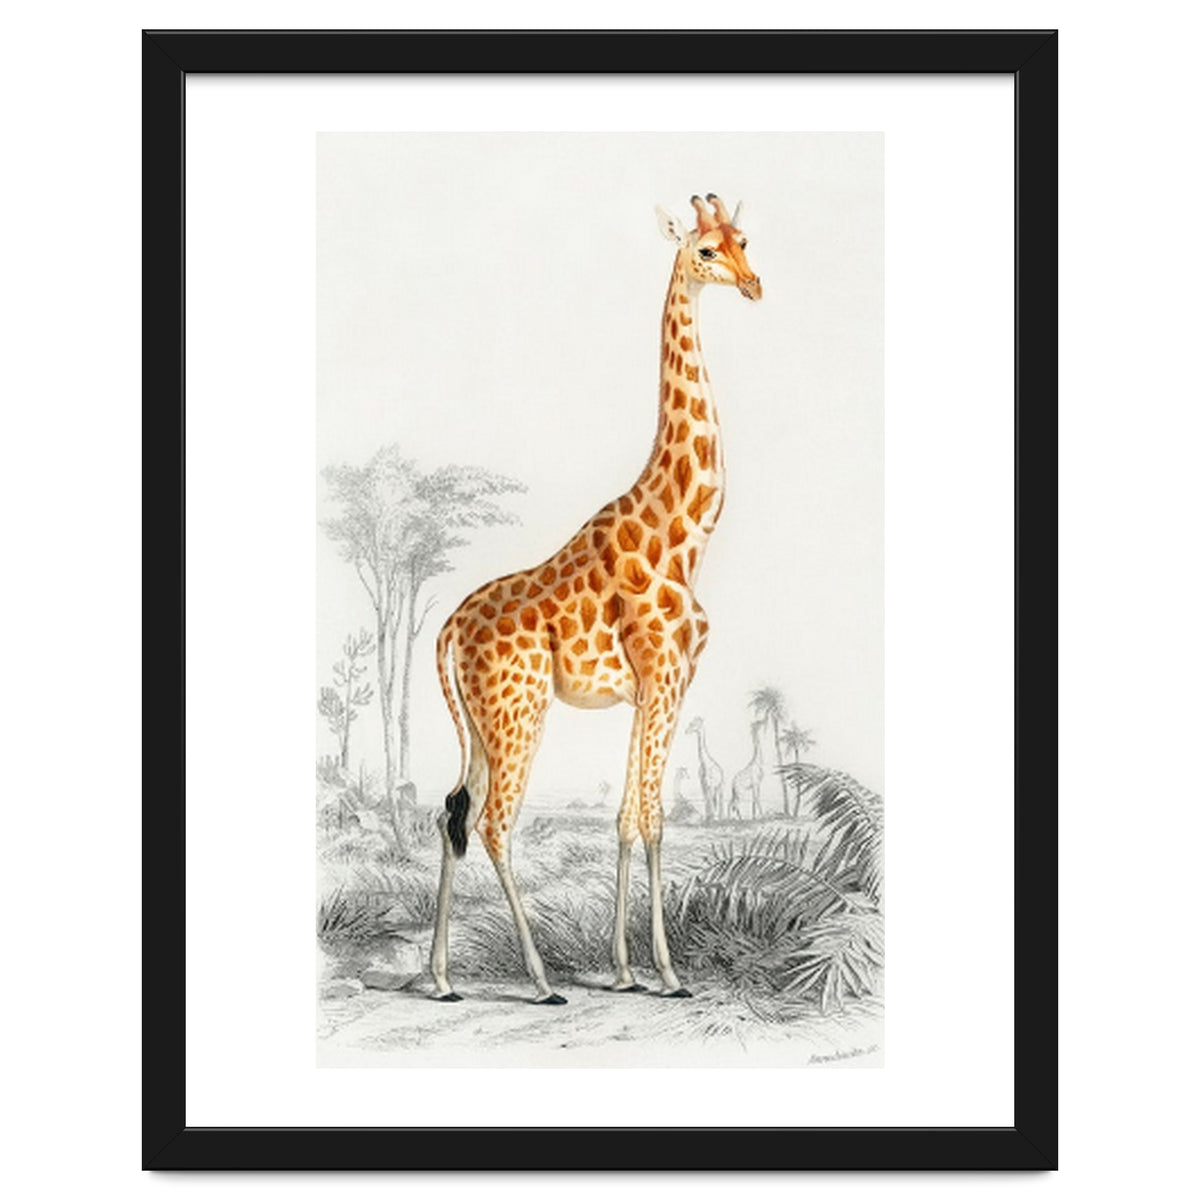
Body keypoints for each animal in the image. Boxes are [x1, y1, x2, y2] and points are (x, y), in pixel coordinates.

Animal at [430, 193, 761, 1003]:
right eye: (705, 251)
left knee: (452, 811)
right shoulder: (665, 679)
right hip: (518, 713)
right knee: (493, 823)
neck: (685, 533)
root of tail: (447, 629)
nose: (753, 284)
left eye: (744, 240)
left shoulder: (654, 689)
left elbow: (628, 816)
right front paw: (667, 973)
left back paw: (441, 979)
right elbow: (654, 818)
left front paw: (626, 970)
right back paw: (543, 980)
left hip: (482, 723)